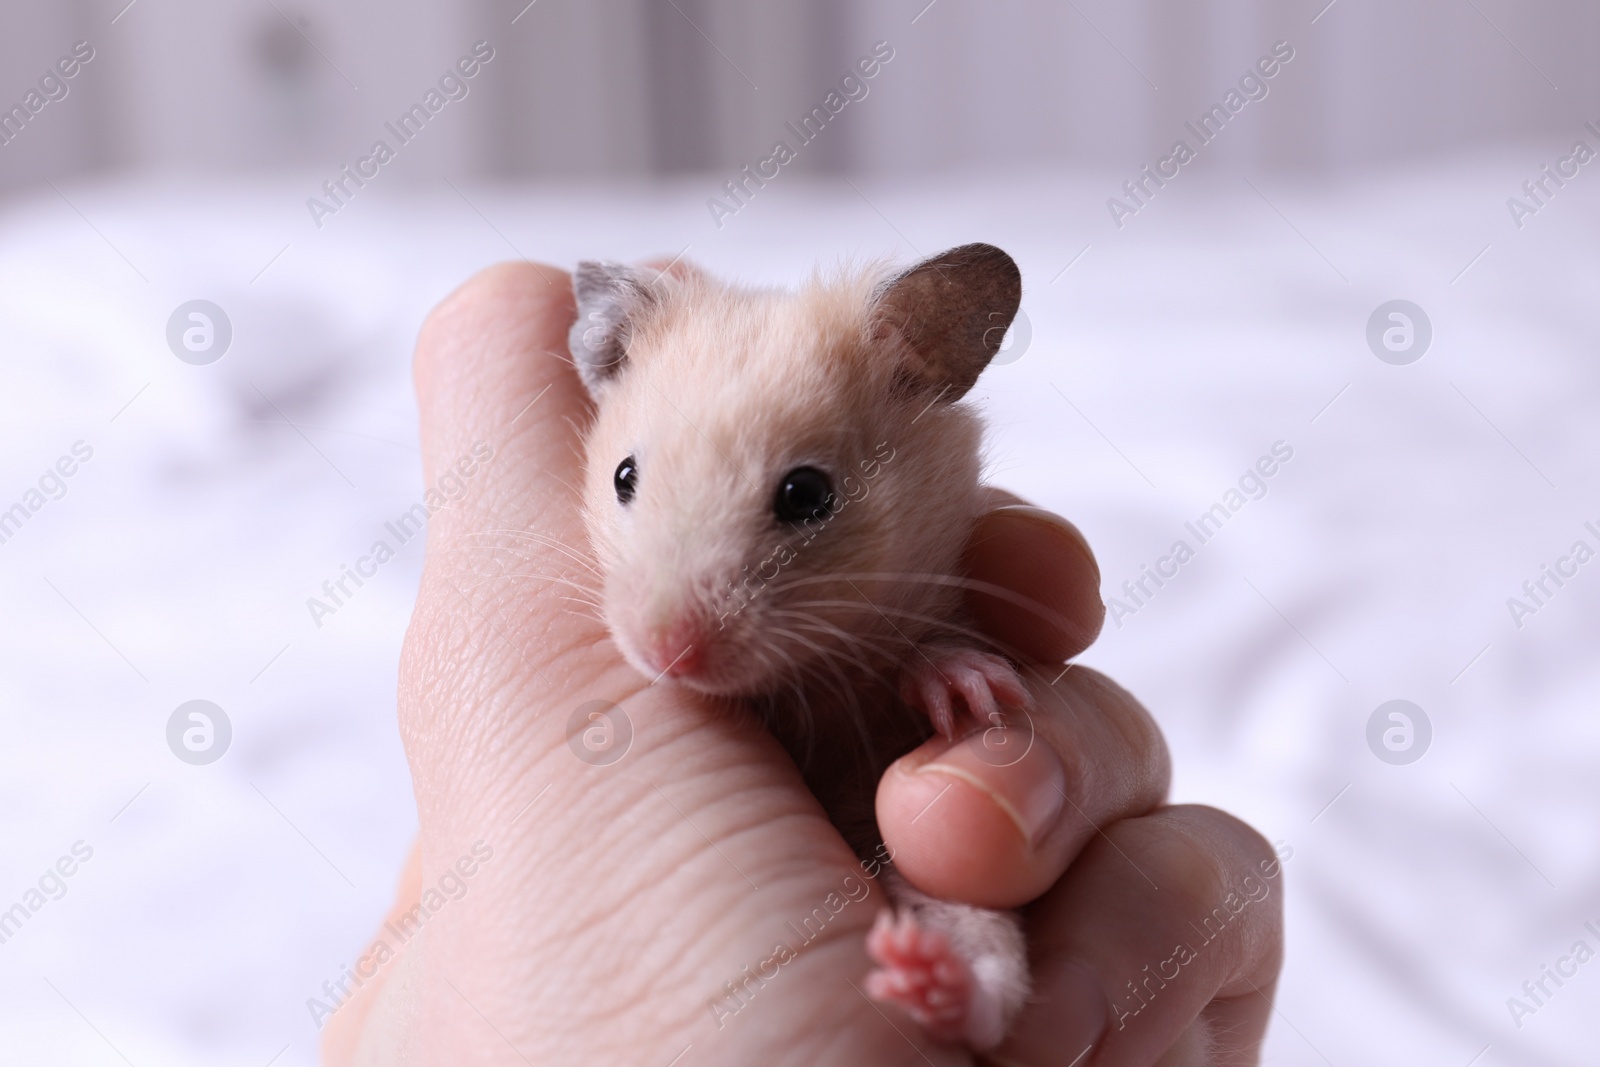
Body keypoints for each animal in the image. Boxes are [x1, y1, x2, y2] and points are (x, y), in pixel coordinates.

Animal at [569, 244, 1030, 1049]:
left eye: (808, 494)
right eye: (624, 476)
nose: (666, 655)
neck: (808, 679)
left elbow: (927, 658)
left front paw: (972, 692)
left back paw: (930, 977)